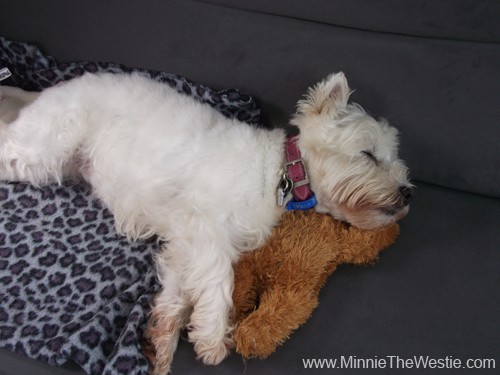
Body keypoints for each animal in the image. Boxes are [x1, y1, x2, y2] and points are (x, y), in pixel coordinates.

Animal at [0, 72, 412, 374]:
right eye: (367, 154)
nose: (408, 193)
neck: (278, 176)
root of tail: (51, 89)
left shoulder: (182, 240)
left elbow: (179, 287)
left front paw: (164, 337)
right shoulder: (201, 224)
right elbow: (219, 277)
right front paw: (212, 336)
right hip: (48, 146)